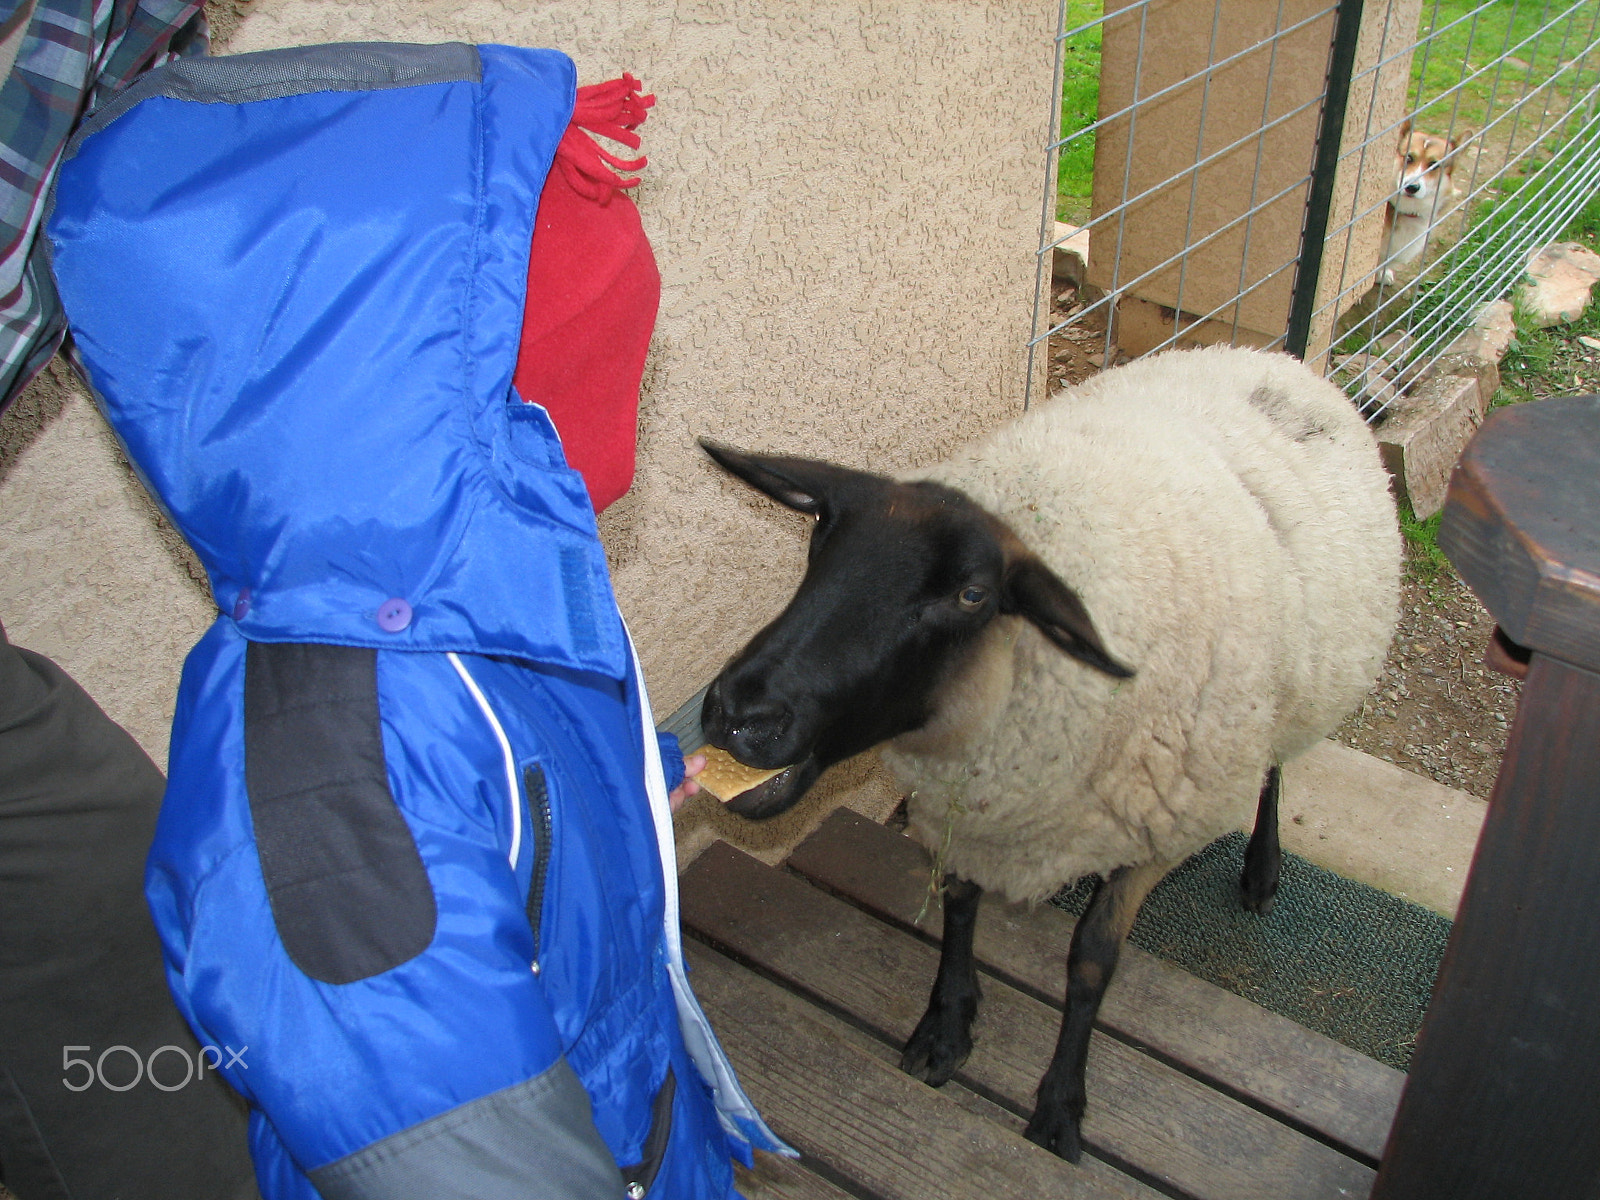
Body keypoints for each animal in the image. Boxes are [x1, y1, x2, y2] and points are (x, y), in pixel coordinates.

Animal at [700, 345, 1401, 1164]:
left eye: (972, 596)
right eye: (820, 535)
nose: (737, 712)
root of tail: (1279, 359)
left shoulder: (1152, 833)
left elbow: (1092, 960)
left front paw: (1061, 1105)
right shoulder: (966, 810)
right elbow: (960, 905)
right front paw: (947, 1023)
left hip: (1295, 695)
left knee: (1275, 766)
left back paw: (1262, 867)